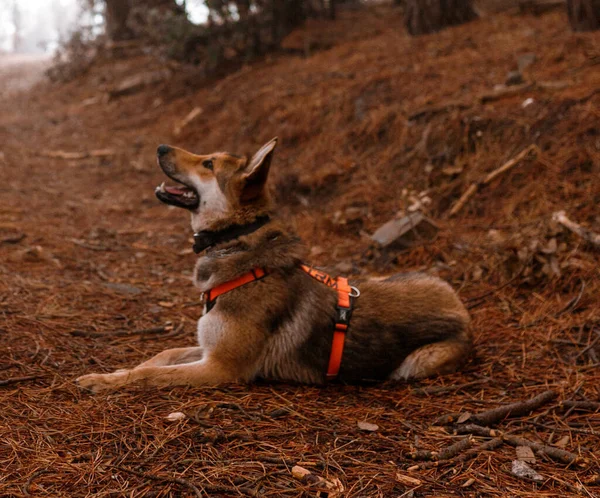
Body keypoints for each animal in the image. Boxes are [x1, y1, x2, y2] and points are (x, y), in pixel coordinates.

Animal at [75, 137, 472, 392]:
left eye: (208, 164)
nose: (159, 147)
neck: (235, 243)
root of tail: (463, 310)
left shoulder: (221, 367)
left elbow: (150, 376)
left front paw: (105, 382)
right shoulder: (208, 349)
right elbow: (162, 355)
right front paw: (118, 370)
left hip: (414, 365)